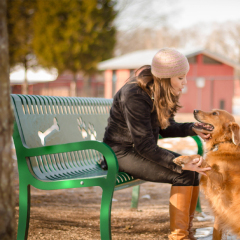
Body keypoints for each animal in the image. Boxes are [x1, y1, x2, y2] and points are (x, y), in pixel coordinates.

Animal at [174, 109, 240, 240]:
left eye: (215, 113)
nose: (195, 110)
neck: (222, 143)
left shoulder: (220, 183)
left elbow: (201, 158)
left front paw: (184, 158)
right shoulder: (220, 215)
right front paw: (182, 158)